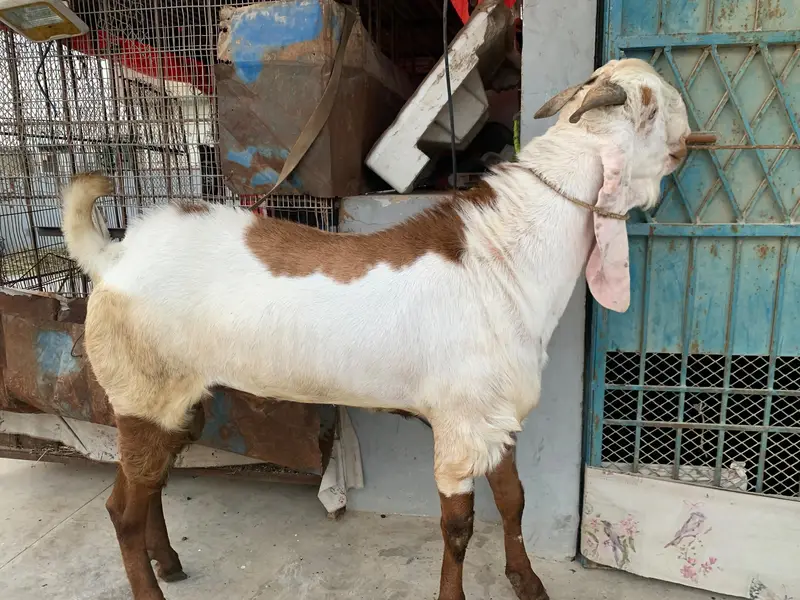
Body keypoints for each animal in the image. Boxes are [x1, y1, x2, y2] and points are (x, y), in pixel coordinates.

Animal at [62, 58, 698, 600]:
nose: (691, 141)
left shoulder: (496, 416)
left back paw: (168, 561)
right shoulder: (460, 424)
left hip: (177, 398)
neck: (505, 255)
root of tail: (113, 257)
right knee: (122, 510)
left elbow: (514, 503)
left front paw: (530, 584)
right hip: (141, 389)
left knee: (149, 486)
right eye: (660, 104)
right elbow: (459, 528)